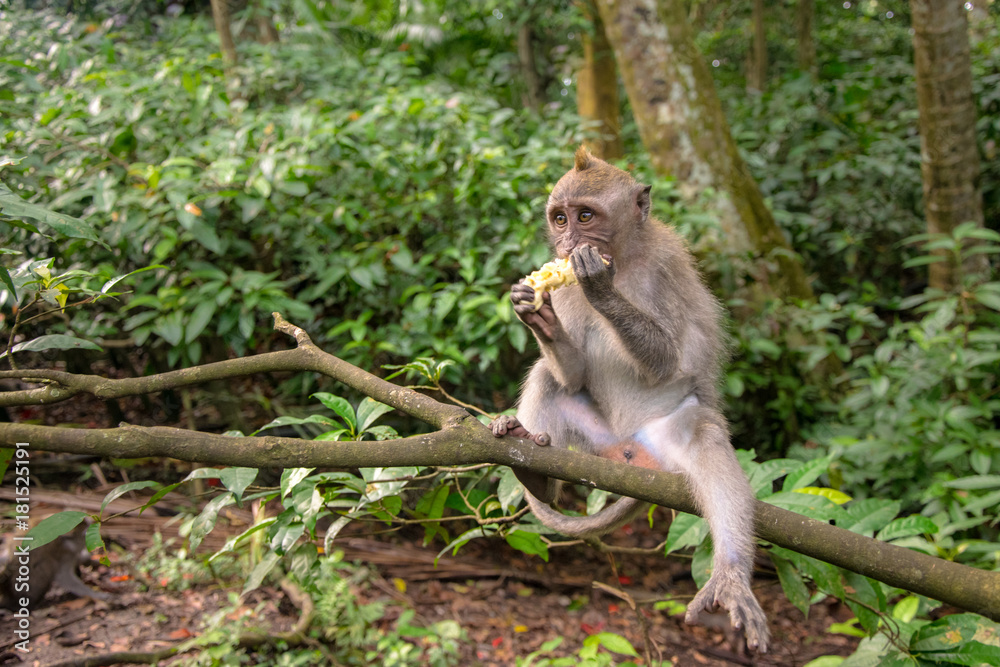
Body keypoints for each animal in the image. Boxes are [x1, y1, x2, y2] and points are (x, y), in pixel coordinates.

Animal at [496, 147, 768, 652]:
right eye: (560, 218)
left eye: (586, 216)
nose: (568, 245)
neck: (624, 259)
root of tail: (630, 451)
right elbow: (573, 373)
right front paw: (537, 313)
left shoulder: (665, 265)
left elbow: (666, 361)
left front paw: (598, 284)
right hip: (595, 440)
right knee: (550, 377)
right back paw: (533, 465)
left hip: (667, 437)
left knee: (703, 436)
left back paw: (731, 574)